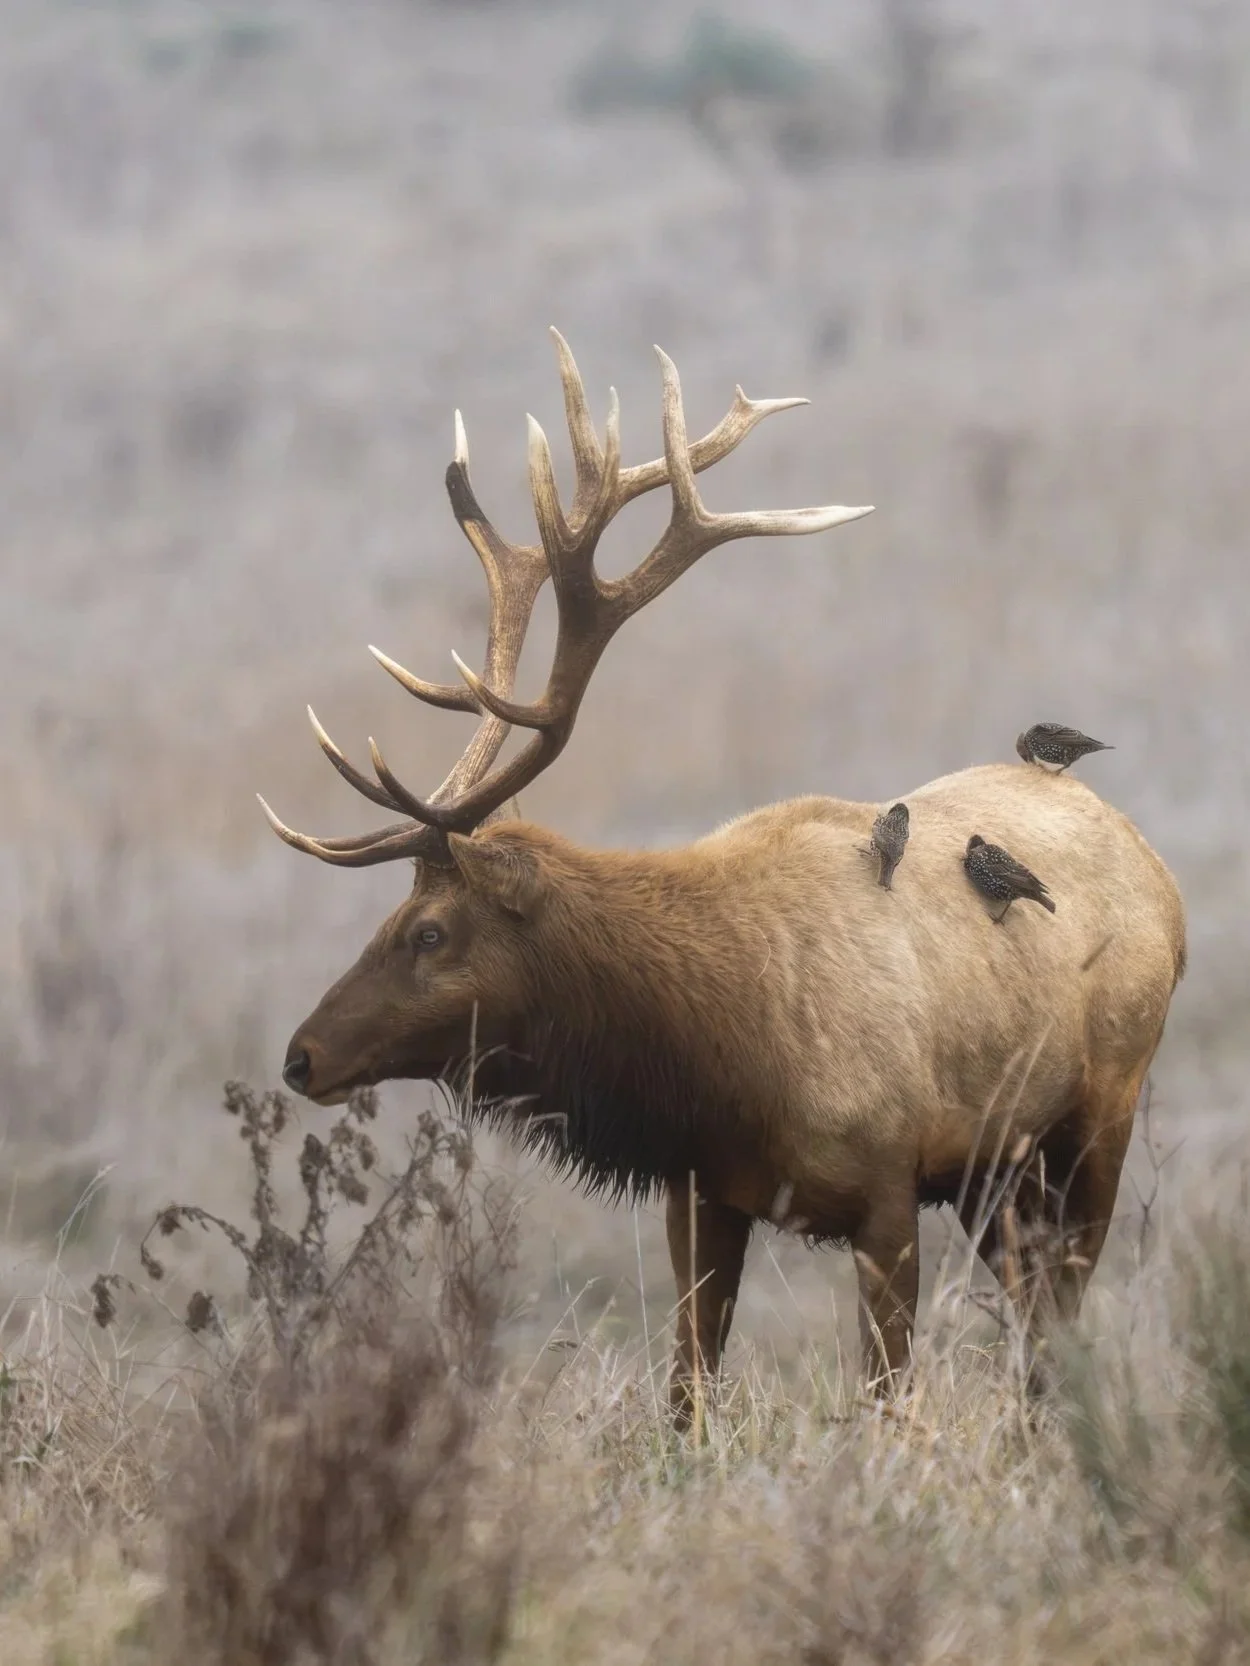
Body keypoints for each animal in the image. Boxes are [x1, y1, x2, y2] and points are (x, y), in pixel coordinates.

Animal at [259, 329, 1187, 1416]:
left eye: (430, 931)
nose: (301, 1056)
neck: (724, 1053)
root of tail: (1161, 880)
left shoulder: (886, 1186)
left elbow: (885, 1394)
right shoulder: (702, 1192)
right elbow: (686, 1392)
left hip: (1100, 1107)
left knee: (1062, 1308)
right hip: (994, 1173)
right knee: (1038, 1314)